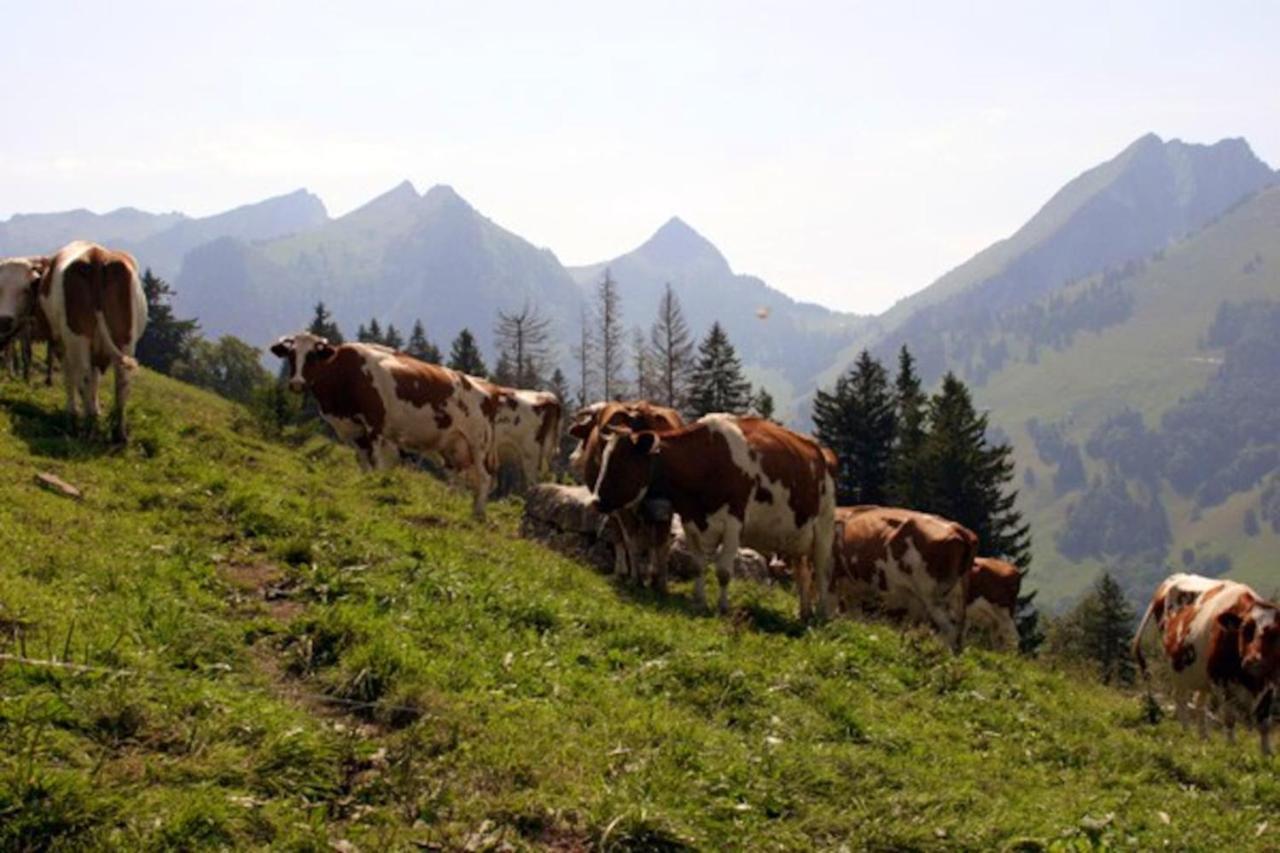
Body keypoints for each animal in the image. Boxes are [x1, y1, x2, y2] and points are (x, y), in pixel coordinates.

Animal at [39, 239, 146, 438]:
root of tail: (96, 256)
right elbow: (96, 380)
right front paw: (96, 411)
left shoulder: (61, 345)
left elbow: (69, 377)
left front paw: (73, 413)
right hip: (125, 337)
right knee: (122, 381)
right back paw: (118, 433)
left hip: (77, 336)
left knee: (83, 376)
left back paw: (87, 427)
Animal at [272, 333, 496, 517]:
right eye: (291, 355)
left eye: (312, 356)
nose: (297, 383)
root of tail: (481, 387)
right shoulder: (356, 431)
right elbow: (363, 461)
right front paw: (367, 483)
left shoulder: (376, 425)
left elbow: (379, 461)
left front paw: (379, 486)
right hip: (450, 447)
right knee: (456, 478)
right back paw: (450, 503)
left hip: (478, 444)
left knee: (484, 478)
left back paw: (478, 512)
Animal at [591, 412, 839, 617]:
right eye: (603, 460)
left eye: (621, 463)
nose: (596, 501)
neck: (705, 461)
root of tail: (822, 452)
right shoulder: (691, 520)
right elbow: (698, 565)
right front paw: (699, 602)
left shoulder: (733, 523)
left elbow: (723, 571)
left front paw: (723, 607)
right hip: (796, 536)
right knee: (802, 572)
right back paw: (804, 613)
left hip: (824, 527)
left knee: (822, 570)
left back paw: (823, 614)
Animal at [824, 504, 972, 650]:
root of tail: (956, 528)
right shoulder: (853, 590)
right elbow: (855, 615)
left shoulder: (832, 577)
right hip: (954, 598)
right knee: (958, 632)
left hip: (933, 596)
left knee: (950, 629)